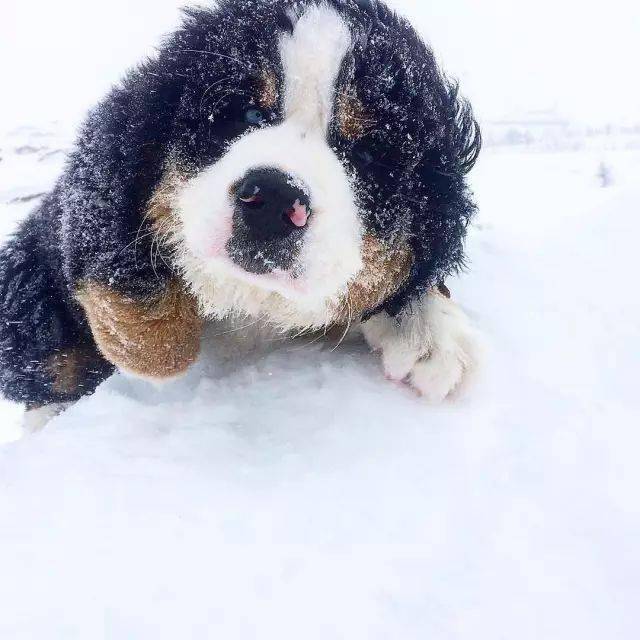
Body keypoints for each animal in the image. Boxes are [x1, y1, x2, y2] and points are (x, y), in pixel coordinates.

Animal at [0, 0, 480, 424]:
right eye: (247, 114)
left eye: (365, 155)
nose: (273, 198)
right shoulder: (101, 170)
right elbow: (142, 312)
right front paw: (154, 346)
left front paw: (430, 335)